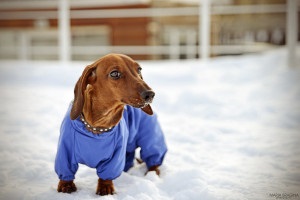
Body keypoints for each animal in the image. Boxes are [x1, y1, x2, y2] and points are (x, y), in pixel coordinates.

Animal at [55, 53, 168, 195]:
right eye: (114, 74)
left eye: (139, 70)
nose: (150, 94)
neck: (97, 128)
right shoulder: (65, 153)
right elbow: (66, 170)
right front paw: (66, 185)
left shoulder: (115, 157)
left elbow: (107, 175)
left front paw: (105, 187)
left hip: (150, 138)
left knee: (154, 160)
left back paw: (152, 174)